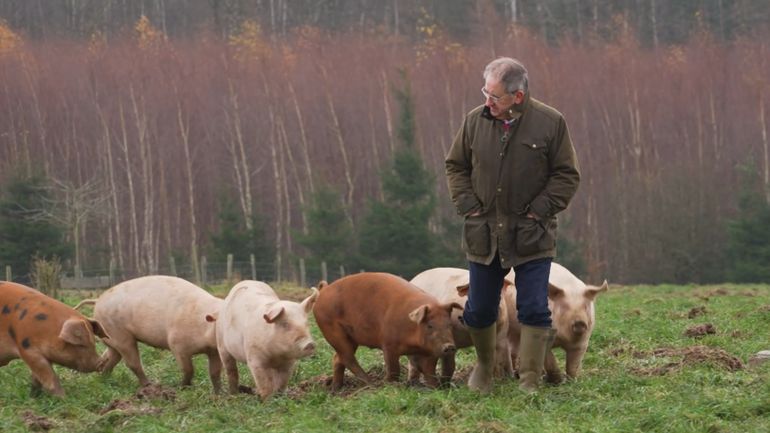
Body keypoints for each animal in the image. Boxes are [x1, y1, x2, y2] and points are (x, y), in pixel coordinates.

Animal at [74, 276, 222, 392]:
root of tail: (97, 300)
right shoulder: (176, 345)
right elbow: (188, 369)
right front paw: (183, 387)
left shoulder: (214, 351)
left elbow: (215, 372)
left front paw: (219, 394)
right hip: (120, 335)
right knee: (132, 363)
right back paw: (149, 385)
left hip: (112, 338)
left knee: (109, 358)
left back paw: (104, 379)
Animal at [308, 272, 460, 390]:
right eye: (429, 325)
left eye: (449, 325)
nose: (449, 346)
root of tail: (324, 290)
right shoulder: (388, 344)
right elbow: (394, 369)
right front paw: (390, 385)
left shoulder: (430, 352)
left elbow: (429, 371)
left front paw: (435, 388)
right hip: (332, 331)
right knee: (347, 358)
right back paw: (372, 384)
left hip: (350, 338)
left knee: (337, 359)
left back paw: (336, 389)